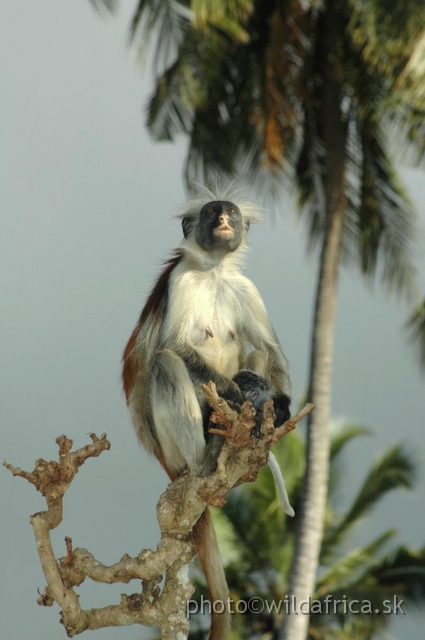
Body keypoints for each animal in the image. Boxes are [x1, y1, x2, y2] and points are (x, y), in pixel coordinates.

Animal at [121, 186, 290, 640]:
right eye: (213, 212)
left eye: (230, 211)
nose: (225, 221)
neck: (213, 272)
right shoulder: (180, 279)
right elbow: (176, 347)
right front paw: (235, 395)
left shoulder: (243, 286)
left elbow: (269, 352)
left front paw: (277, 405)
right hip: (171, 446)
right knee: (165, 362)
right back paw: (207, 455)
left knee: (253, 352)